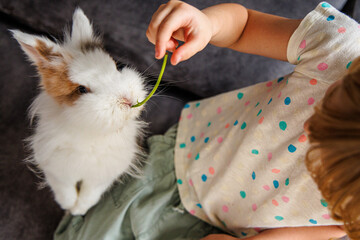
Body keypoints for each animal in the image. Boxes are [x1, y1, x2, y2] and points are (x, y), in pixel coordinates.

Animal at [11, 7, 146, 216]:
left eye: (116, 66)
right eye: (82, 90)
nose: (128, 100)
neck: (88, 130)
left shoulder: (104, 171)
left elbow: (91, 192)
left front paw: (79, 209)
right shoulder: (56, 168)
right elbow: (64, 189)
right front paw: (70, 206)